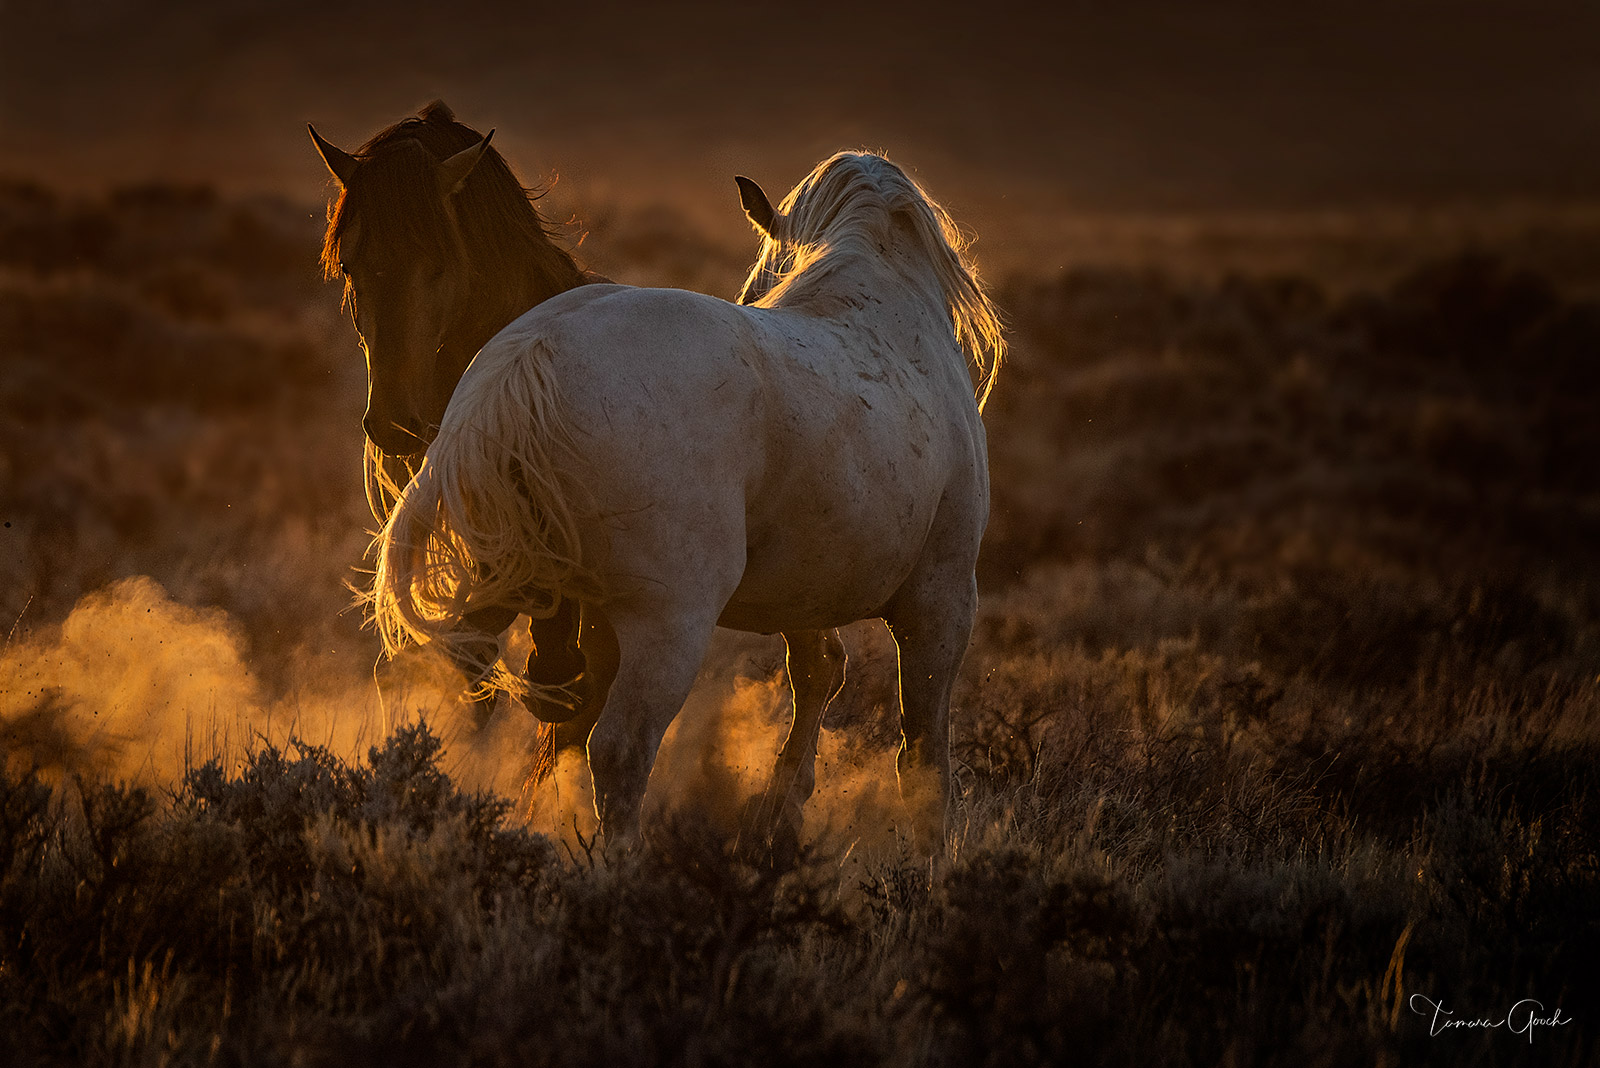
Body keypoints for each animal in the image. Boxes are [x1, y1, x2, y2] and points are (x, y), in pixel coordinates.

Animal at [371, 151, 1003, 854]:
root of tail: (527, 363)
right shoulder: (940, 599)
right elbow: (922, 753)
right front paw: (930, 846)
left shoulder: (800, 592)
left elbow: (821, 673)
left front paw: (781, 811)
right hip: (667, 623)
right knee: (619, 751)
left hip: (508, 592)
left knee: (473, 698)